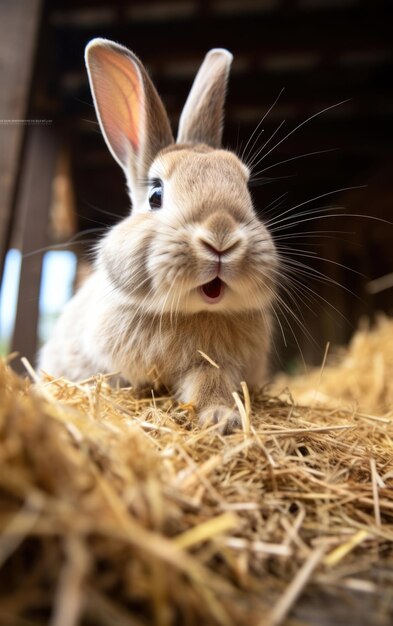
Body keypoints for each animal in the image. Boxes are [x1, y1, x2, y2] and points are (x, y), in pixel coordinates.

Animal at [38, 37, 278, 428]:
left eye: (248, 191)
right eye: (156, 195)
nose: (220, 237)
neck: (195, 313)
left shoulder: (214, 365)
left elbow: (209, 380)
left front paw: (221, 417)